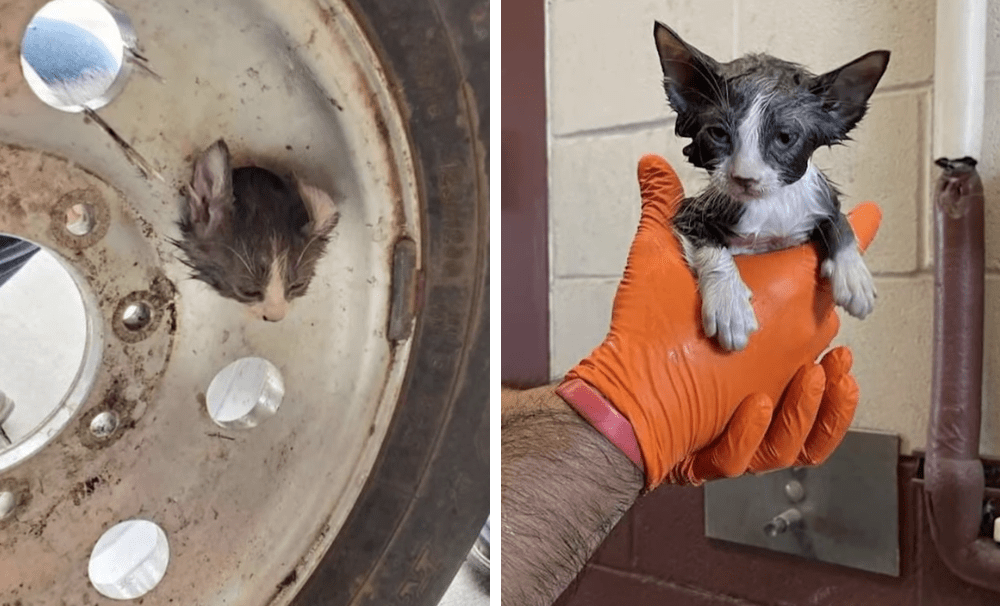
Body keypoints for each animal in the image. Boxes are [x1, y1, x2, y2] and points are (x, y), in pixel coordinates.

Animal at [656, 21, 892, 352]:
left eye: (784, 138)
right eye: (718, 134)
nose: (744, 177)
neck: (769, 205)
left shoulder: (819, 201)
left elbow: (837, 219)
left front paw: (853, 273)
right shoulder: (691, 210)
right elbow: (710, 243)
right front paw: (729, 304)